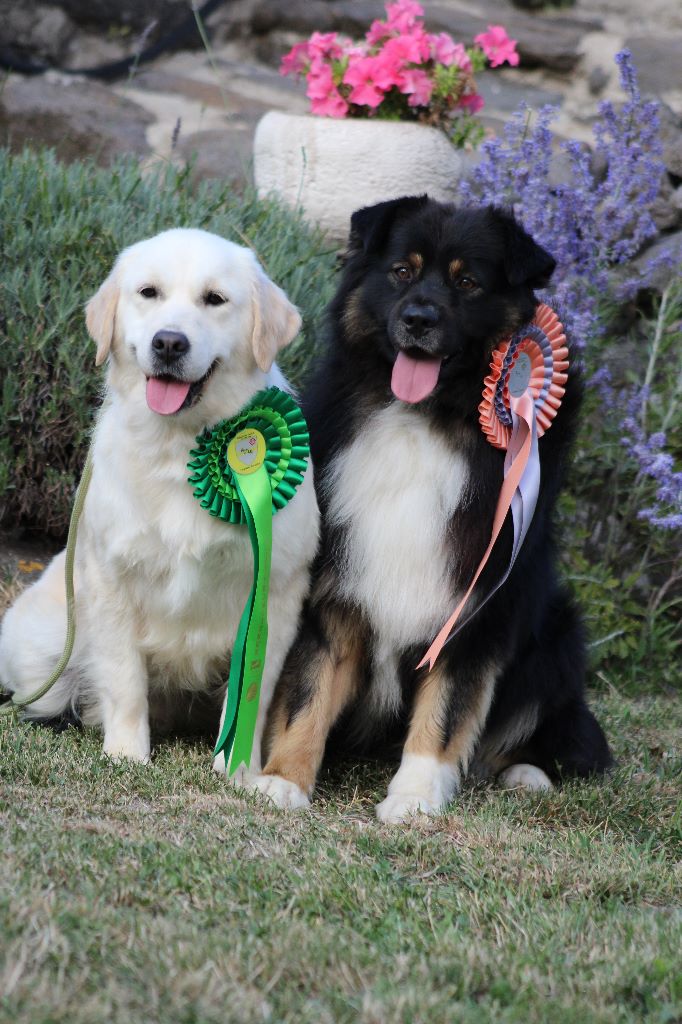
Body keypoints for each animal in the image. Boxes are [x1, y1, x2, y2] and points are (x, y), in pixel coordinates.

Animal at [0, 228, 319, 770]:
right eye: (148, 292)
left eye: (215, 299)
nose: (169, 342)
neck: (182, 449)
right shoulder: (112, 578)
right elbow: (125, 679)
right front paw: (126, 754)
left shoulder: (275, 591)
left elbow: (252, 694)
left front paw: (239, 773)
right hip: (42, 651)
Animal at [254, 193, 610, 823]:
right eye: (402, 271)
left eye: (467, 282)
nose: (419, 319)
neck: (423, 420)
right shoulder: (334, 592)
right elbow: (307, 694)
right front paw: (283, 780)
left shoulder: (478, 603)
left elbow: (445, 712)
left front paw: (416, 797)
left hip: (558, 634)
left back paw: (527, 773)